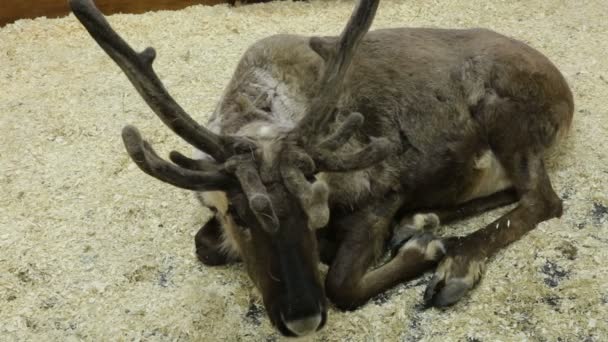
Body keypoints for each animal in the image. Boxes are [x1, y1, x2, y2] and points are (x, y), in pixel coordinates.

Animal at [69, 0, 572, 336]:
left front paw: (424, 250)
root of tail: (565, 92)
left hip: (506, 118)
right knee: (512, 193)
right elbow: (204, 246)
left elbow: (341, 283)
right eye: (238, 216)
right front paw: (414, 231)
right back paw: (418, 222)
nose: (303, 319)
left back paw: (455, 264)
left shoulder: (383, 188)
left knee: (542, 199)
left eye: (314, 206)